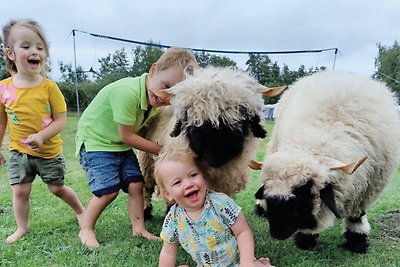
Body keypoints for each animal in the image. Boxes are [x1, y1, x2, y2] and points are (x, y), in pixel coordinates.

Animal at [255, 70, 400, 253]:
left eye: (304, 192)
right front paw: (306, 239)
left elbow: (357, 216)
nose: (277, 233)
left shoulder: (366, 188)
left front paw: (357, 241)